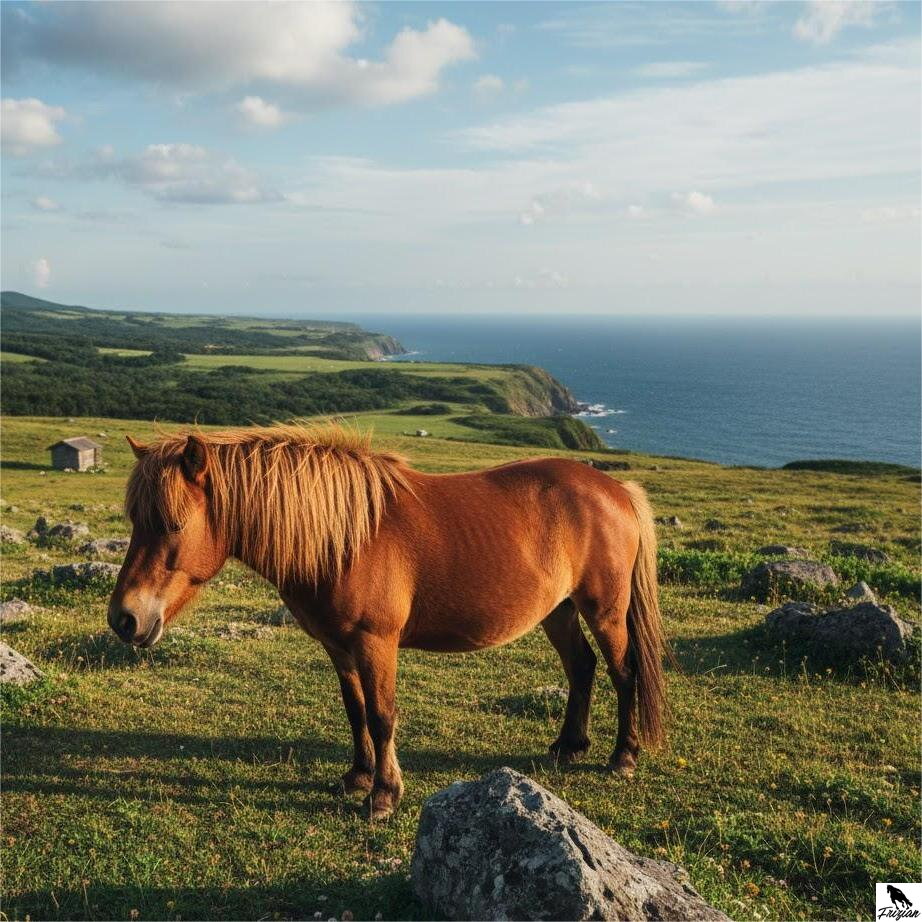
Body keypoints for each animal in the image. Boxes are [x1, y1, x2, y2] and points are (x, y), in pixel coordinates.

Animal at [108, 423, 668, 819]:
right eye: (135, 521)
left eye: (173, 524)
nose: (124, 620)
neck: (345, 540)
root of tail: (616, 489)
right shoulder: (338, 645)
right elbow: (355, 709)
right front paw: (358, 776)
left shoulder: (376, 643)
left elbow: (381, 716)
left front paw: (383, 795)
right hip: (559, 610)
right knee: (581, 667)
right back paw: (568, 747)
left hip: (604, 610)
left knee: (623, 673)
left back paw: (623, 758)